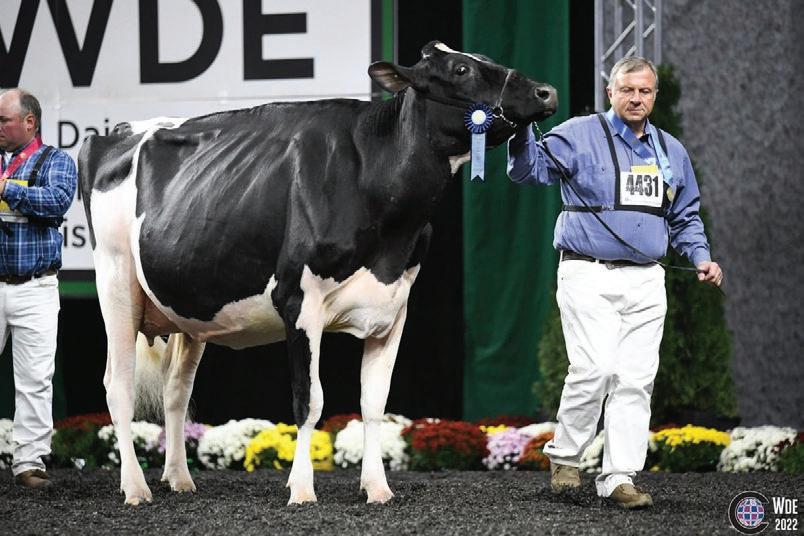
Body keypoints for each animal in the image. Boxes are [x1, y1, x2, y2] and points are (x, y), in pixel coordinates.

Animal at [78, 41, 557, 506]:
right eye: (460, 69)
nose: (546, 92)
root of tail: (115, 133)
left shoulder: (395, 308)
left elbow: (374, 403)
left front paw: (377, 488)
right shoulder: (299, 302)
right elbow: (308, 401)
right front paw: (302, 489)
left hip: (188, 311)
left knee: (176, 391)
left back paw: (179, 478)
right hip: (116, 281)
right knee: (117, 386)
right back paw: (135, 488)